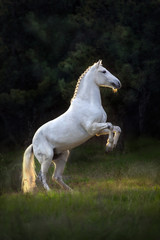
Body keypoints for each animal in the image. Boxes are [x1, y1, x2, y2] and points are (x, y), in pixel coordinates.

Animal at [21, 60, 121, 193]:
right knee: (42, 176)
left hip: (62, 157)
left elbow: (116, 128)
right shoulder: (92, 128)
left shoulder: (97, 131)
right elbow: (110, 126)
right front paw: (109, 146)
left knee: (56, 177)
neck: (88, 103)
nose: (118, 83)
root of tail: (33, 144)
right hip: (47, 158)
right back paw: (51, 193)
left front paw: (112, 145)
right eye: (104, 71)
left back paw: (72, 192)